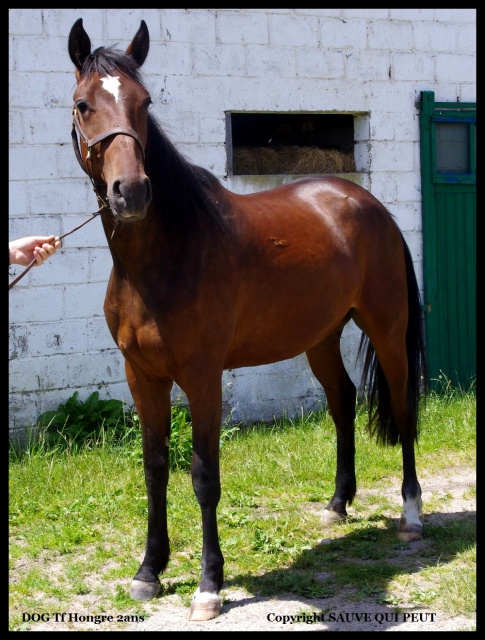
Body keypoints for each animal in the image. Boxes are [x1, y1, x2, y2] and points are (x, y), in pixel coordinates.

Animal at [69, 18, 428, 620]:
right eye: (82, 105)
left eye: (145, 102)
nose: (132, 192)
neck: (165, 257)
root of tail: (371, 206)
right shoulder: (142, 375)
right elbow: (154, 467)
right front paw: (149, 572)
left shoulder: (202, 375)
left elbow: (204, 475)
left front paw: (209, 586)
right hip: (320, 338)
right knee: (343, 402)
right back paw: (337, 504)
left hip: (388, 329)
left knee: (402, 410)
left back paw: (412, 514)